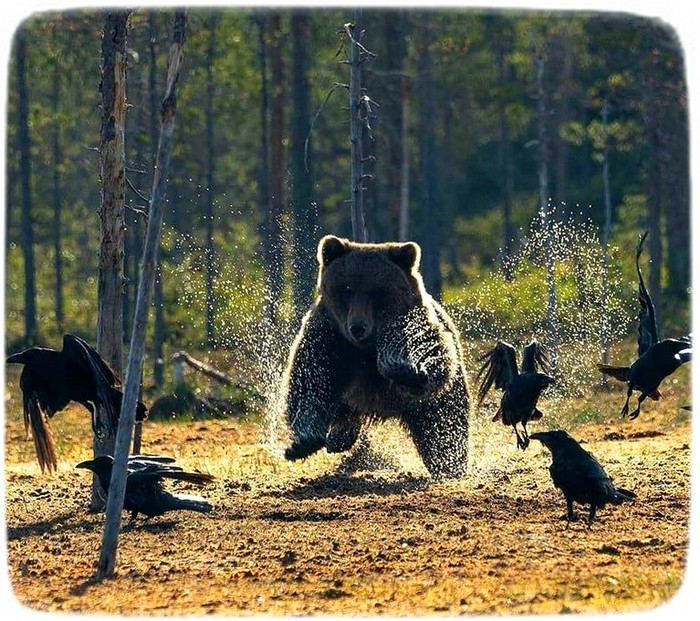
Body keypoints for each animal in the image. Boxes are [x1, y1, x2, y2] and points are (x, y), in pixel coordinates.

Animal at [280, 234, 470, 479]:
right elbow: (311, 382)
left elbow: (427, 351)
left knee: (443, 423)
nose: (357, 327)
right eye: (347, 289)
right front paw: (300, 444)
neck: (365, 348)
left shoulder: (411, 323)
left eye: (376, 291)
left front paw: (403, 369)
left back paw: (450, 463)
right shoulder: (331, 338)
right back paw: (337, 440)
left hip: (432, 401)